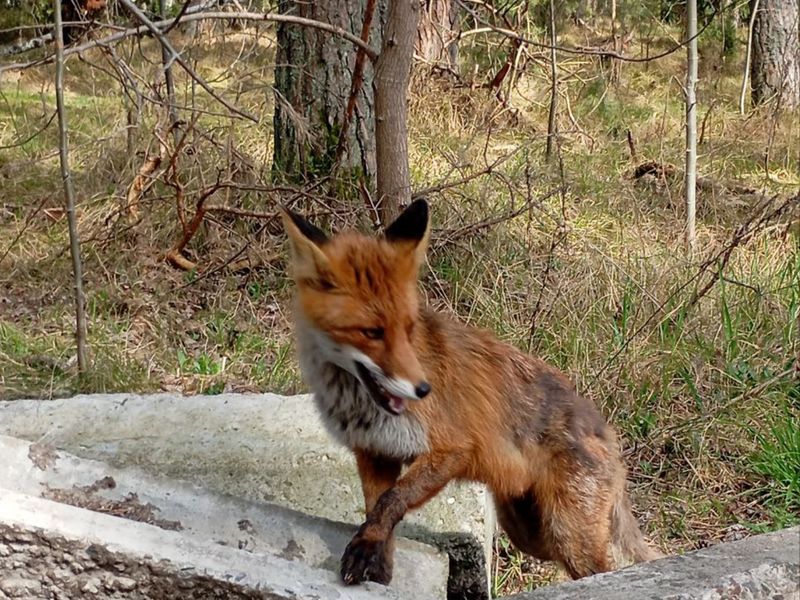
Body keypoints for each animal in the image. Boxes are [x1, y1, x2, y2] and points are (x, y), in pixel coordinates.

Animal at [280, 198, 661, 588]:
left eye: (409, 328)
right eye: (372, 332)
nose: (423, 390)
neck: (356, 402)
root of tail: (604, 426)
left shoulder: (451, 448)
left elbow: (391, 503)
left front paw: (366, 552)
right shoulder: (376, 452)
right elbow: (379, 513)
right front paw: (378, 565)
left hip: (568, 535)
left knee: (605, 568)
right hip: (530, 532)